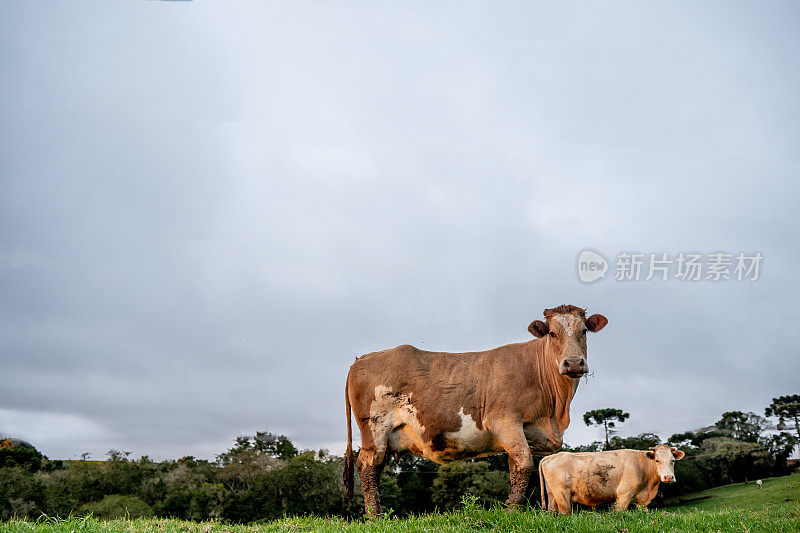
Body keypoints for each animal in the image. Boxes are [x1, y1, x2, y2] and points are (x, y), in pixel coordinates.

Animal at [340, 306, 608, 512]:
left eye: (584, 331)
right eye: (552, 333)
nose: (573, 362)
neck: (555, 412)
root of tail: (361, 359)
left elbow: (514, 465)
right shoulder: (505, 420)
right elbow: (523, 464)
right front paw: (511, 511)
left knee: (375, 469)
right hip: (374, 430)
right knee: (367, 467)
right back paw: (376, 515)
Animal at [536, 442, 684, 512]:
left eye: (673, 461)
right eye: (657, 460)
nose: (668, 477)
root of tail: (553, 456)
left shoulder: (642, 500)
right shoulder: (623, 494)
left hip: (552, 495)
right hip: (562, 495)